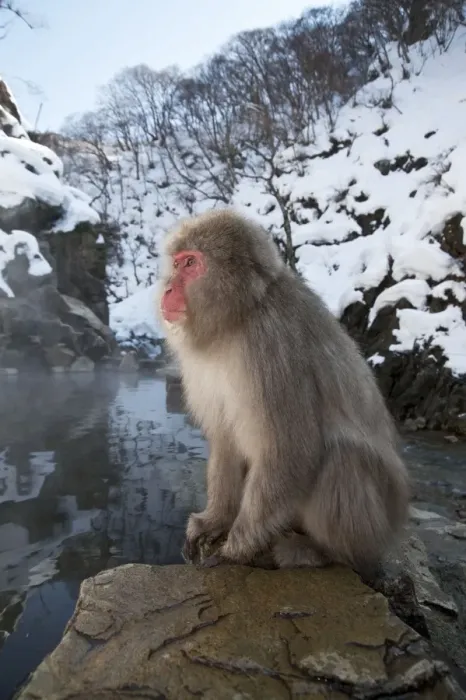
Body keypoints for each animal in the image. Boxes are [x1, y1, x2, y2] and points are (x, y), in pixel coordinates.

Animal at [157, 208, 410, 577]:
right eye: (176, 263)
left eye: (191, 263)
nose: (167, 288)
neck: (240, 316)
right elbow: (226, 438)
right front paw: (214, 520)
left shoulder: (271, 346)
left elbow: (291, 447)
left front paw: (237, 548)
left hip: (374, 528)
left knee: (342, 457)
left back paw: (324, 551)